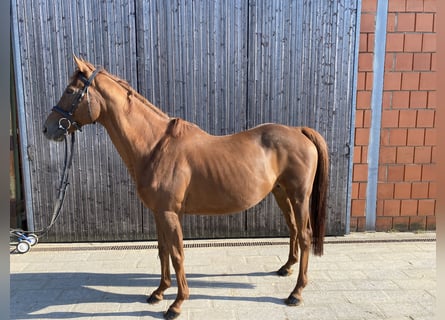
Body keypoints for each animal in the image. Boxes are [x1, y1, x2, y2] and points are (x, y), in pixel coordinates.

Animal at [43, 56, 328, 318]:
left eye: (70, 91)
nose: (47, 128)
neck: (155, 147)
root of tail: (299, 131)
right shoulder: (160, 213)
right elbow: (163, 252)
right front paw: (158, 292)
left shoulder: (170, 213)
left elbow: (177, 254)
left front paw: (177, 304)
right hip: (282, 193)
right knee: (293, 229)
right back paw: (286, 268)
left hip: (299, 196)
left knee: (304, 235)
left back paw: (296, 292)